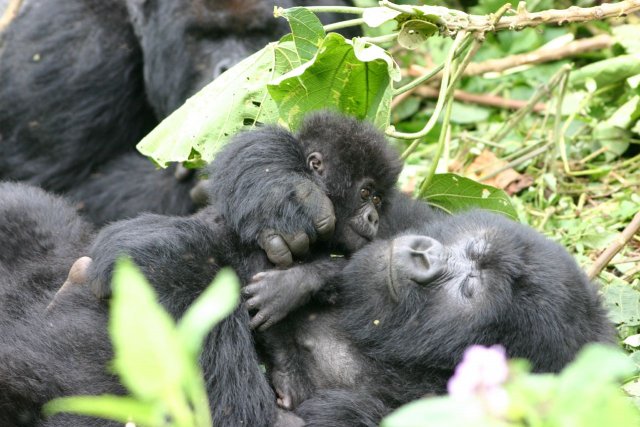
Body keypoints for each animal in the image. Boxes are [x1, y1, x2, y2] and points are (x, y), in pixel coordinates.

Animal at [0, 0, 350, 226]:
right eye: (205, 36)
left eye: (259, 31)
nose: (235, 70)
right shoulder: (76, 45)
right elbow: (53, 190)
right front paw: (258, 174)